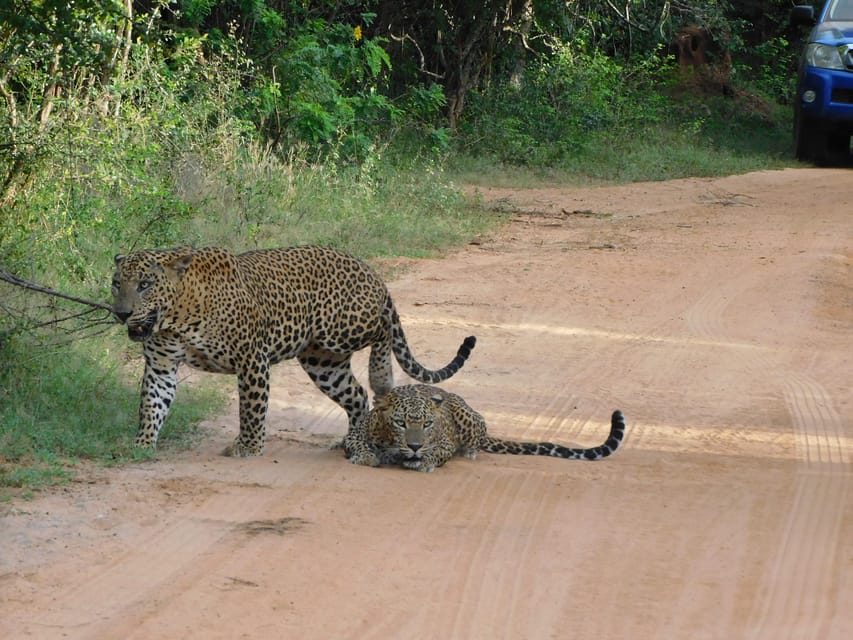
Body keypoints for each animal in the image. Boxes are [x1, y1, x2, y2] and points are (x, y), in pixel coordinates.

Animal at [110, 244, 476, 456]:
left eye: (144, 285)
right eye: (117, 283)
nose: (122, 313)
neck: (177, 316)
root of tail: (371, 272)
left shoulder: (251, 358)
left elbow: (251, 408)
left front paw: (248, 446)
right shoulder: (160, 366)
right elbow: (152, 405)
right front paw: (142, 445)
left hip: (342, 328)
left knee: (383, 329)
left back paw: (381, 373)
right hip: (322, 361)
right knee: (356, 395)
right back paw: (354, 439)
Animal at [342, 382, 624, 472]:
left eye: (427, 424)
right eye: (400, 423)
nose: (414, 446)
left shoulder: (444, 442)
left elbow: (438, 452)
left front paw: (423, 461)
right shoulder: (355, 434)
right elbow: (357, 444)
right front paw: (366, 457)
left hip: (466, 415)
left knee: (475, 440)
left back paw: (469, 452)